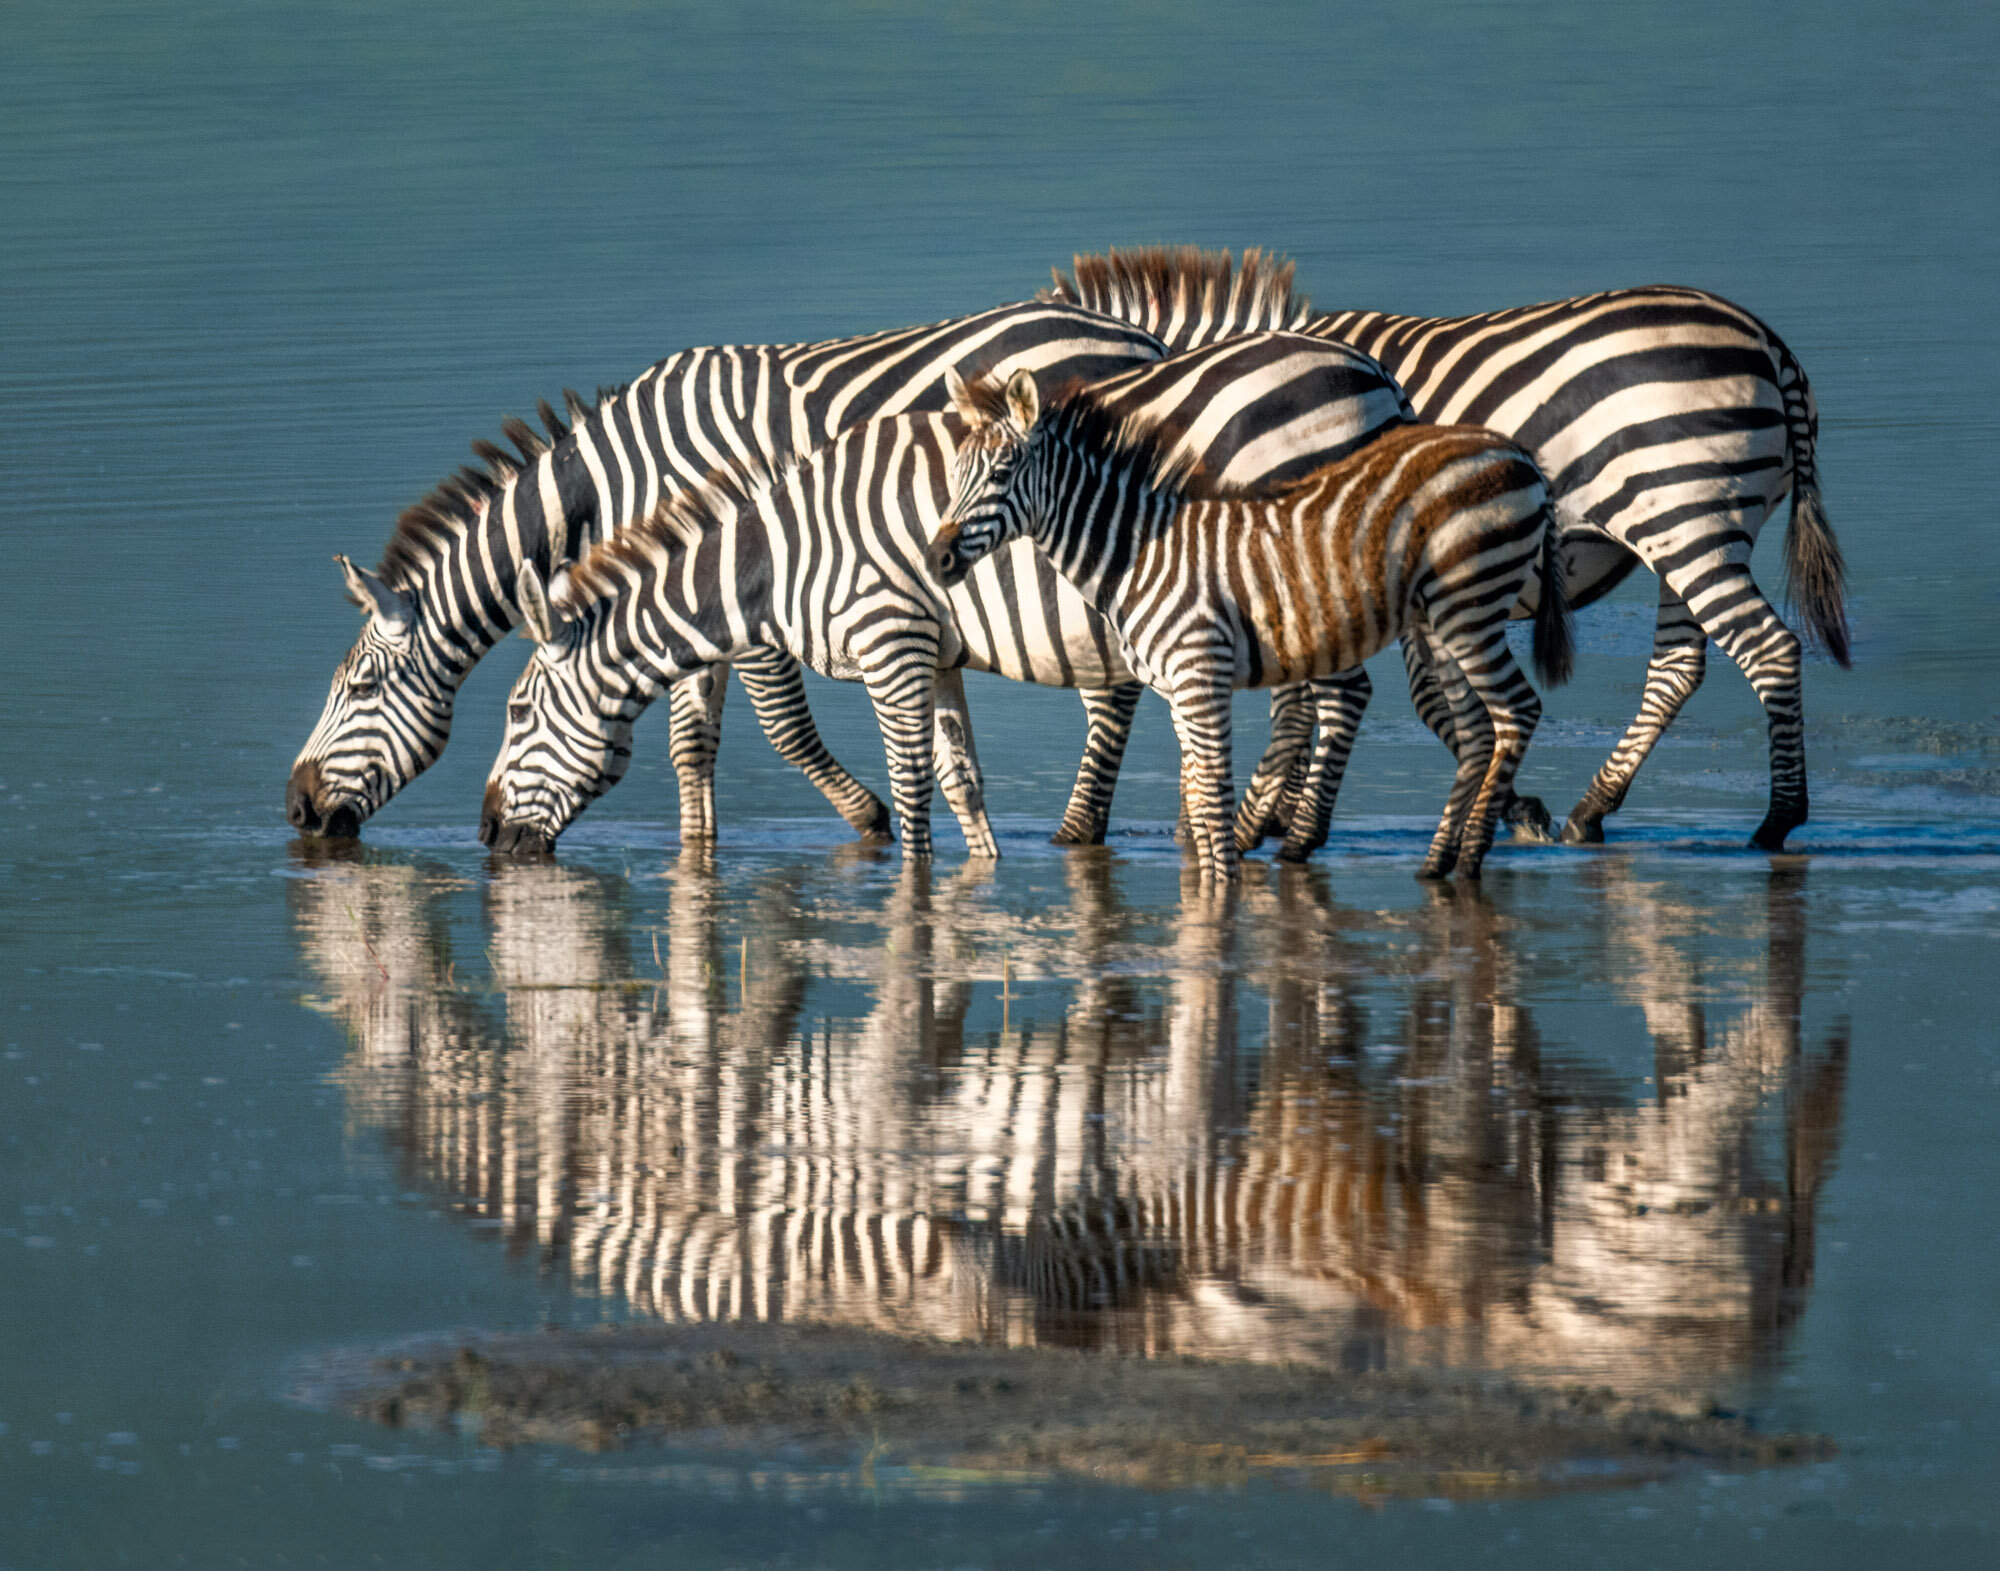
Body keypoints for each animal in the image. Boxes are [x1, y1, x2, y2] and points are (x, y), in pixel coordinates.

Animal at [284, 301, 1168, 851]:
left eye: (357, 686)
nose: (296, 810)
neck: (609, 481)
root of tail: (1138, 339)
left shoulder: (748, 574)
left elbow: (783, 727)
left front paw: (869, 817)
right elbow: (690, 742)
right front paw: (697, 847)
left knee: (1111, 690)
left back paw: (1075, 831)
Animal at [480, 331, 1424, 863]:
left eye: (519, 712)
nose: (486, 836)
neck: (781, 555)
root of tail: (1374, 373)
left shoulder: (889, 641)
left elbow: (907, 786)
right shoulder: (934, 654)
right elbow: (962, 779)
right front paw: (987, 871)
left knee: (1338, 695)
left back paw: (1287, 837)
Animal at [928, 369, 1568, 879]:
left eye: (1001, 473)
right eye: (954, 474)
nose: (937, 560)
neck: (1139, 552)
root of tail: (1518, 454)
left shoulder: (1201, 676)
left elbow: (1212, 798)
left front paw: (1221, 899)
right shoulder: (1176, 691)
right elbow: (1199, 800)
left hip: (1471, 605)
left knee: (1518, 710)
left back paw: (1469, 856)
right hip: (1441, 621)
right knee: (1479, 729)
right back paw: (1437, 864)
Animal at [1056, 246, 1848, 851]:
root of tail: (1768, 343)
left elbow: (1414, 702)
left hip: (1689, 519)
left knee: (1768, 650)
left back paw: (1777, 821)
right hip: (1688, 530)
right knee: (1679, 667)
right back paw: (1594, 807)